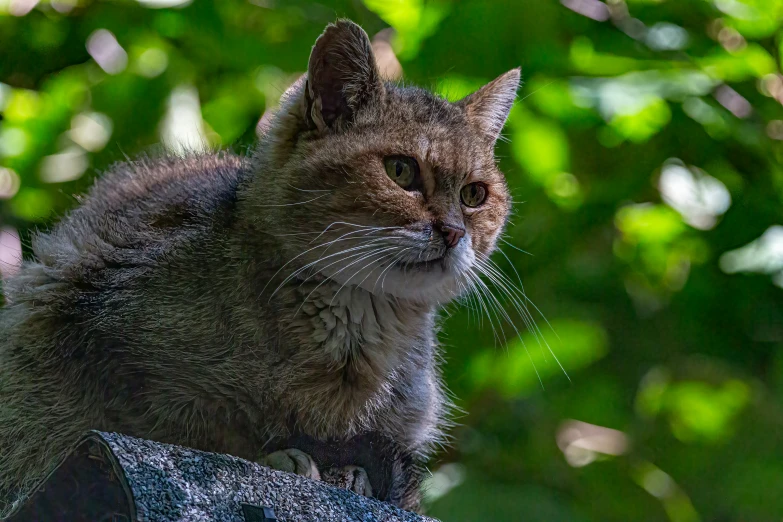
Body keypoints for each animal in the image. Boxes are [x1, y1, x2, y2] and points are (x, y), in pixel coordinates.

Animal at [0, 17, 520, 512]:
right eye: (401, 171)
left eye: (474, 195)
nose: (453, 232)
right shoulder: (100, 350)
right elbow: (197, 434)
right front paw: (286, 458)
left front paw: (347, 474)